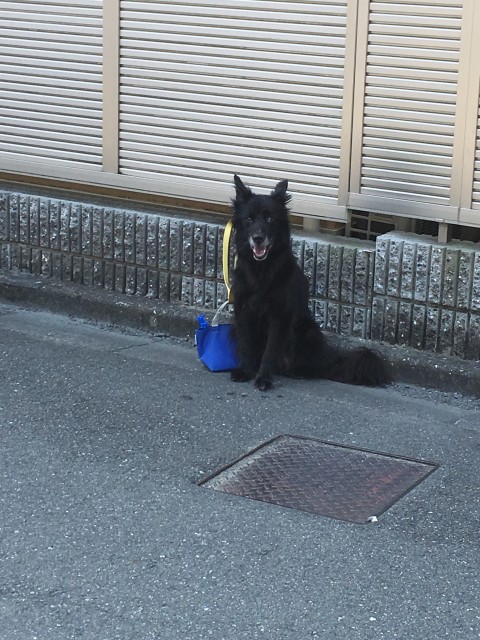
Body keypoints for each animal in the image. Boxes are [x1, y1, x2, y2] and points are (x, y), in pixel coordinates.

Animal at [229, 176, 390, 396]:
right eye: (249, 219)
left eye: (270, 219)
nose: (258, 238)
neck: (261, 269)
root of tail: (333, 360)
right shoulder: (242, 310)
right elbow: (246, 344)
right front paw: (245, 371)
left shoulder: (279, 317)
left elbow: (270, 352)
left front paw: (263, 379)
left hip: (308, 331)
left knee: (314, 366)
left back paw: (298, 372)